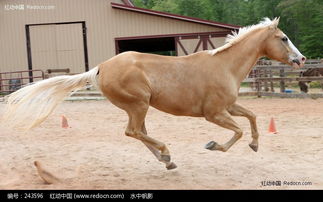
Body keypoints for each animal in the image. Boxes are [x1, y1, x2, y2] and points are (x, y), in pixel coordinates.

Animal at [3, 17, 306, 170]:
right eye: (283, 38)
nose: (301, 59)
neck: (224, 66)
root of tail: (101, 67)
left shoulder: (229, 108)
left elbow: (252, 117)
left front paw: (255, 145)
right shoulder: (214, 114)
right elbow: (239, 131)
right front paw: (213, 145)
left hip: (138, 107)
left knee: (138, 132)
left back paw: (166, 160)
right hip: (139, 104)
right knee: (133, 131)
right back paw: (166, 154)